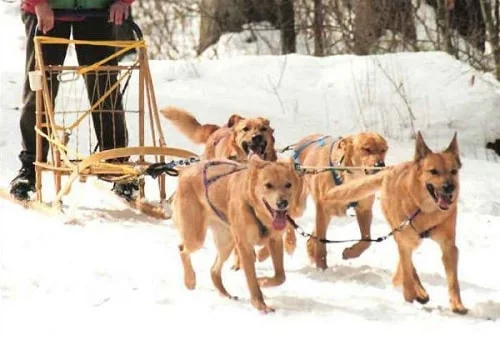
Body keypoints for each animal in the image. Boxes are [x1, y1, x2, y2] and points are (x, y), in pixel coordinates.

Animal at [172, 155, 304, 312]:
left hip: (227, 242)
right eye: (268, 185)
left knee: (213, 270)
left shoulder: (275, 240)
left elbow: (280, 276)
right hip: (196, 238)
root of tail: (186, 170)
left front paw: (263, 281)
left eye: (288, 184)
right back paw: (190, 279)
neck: (255, 211)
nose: (282, 203)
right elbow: (252, 280)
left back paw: (224, 294)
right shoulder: (245, 246)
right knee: (182, 249)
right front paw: (260, 305)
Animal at [292, 132, 388, 268]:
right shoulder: (323, 208)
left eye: (383, 150)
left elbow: (366, 240)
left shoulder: (364, 209)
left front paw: (350, 252)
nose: (380, 165)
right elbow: (321, 243)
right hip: (299, 205)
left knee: (311, 239)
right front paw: (322, 268)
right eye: (366, 149)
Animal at [326, 131, 466, 314]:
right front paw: (410, 294)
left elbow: (453, 280)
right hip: (402, 233)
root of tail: (391, 169)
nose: (450, 187)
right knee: (408, 264)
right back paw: (418, 291)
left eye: (453, 171)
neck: (424, 209)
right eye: (433, 171)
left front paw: (457, 304)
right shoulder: (404, 238)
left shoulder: (448, 246)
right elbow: (408, 269)